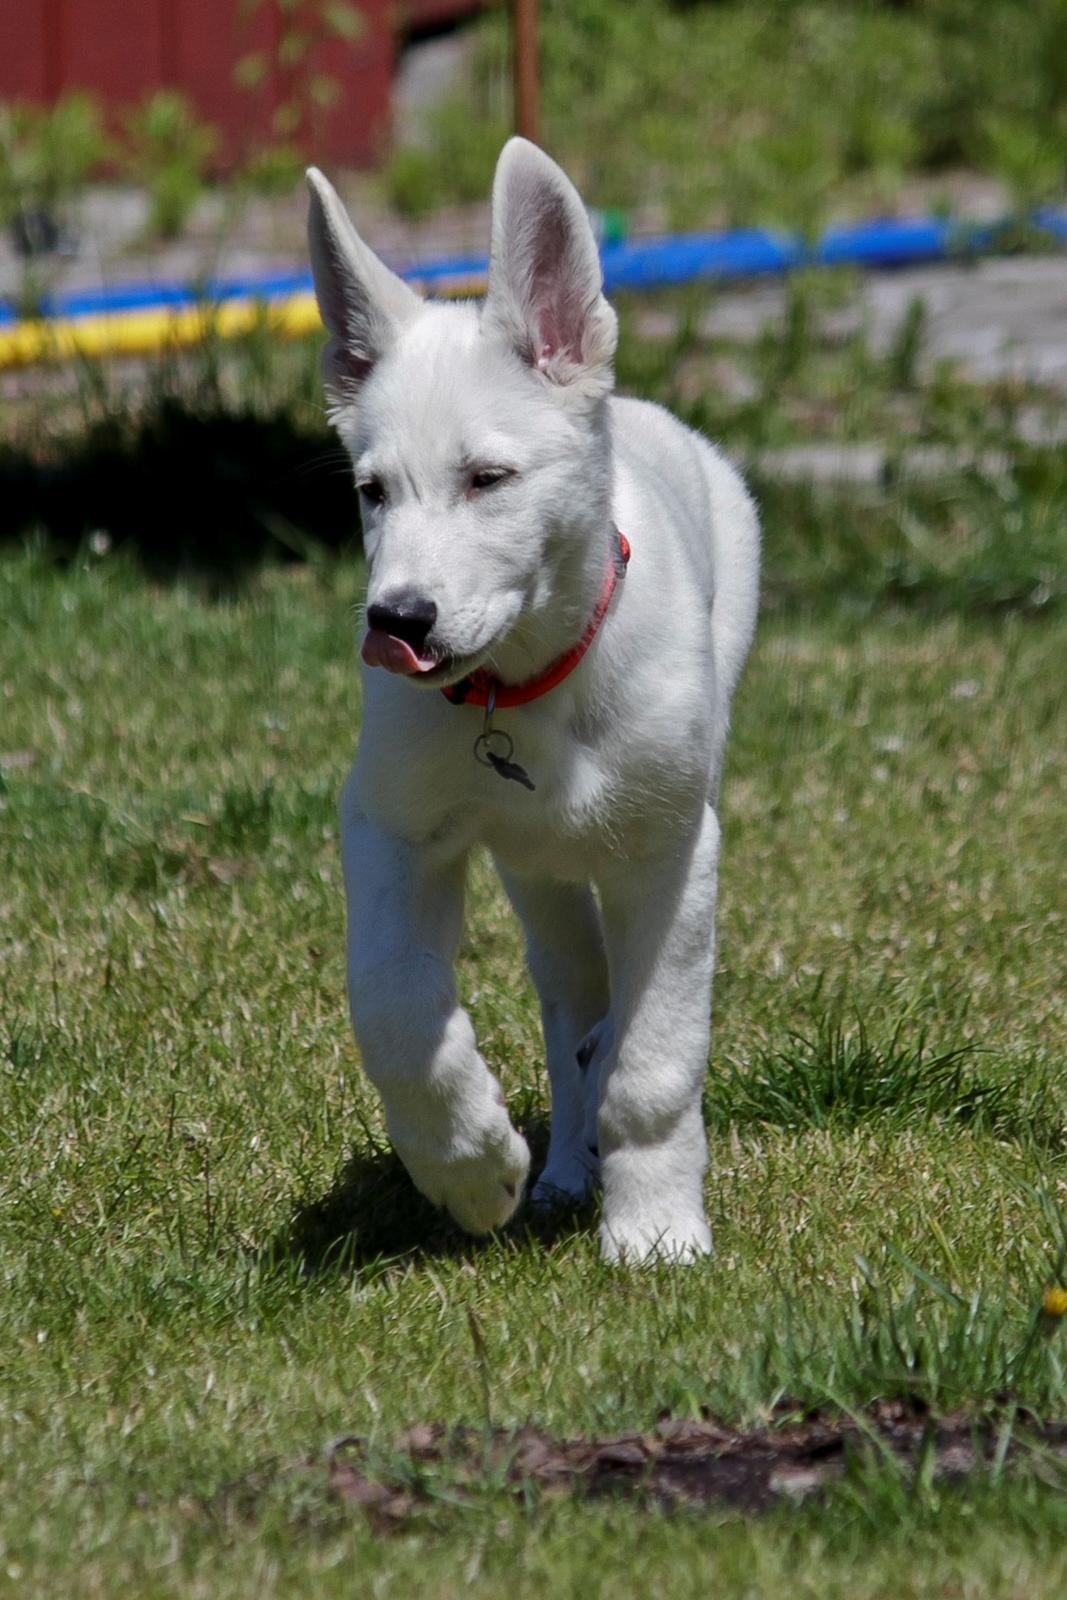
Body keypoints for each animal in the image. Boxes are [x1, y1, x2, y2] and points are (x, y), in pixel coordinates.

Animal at [303, 137, 764, 1260]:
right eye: (371, 492)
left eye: (487, 478)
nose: (396, 620)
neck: (524, 691)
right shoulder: (389, 827)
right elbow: (393, 1008)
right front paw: (470, 1168)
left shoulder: (672, 852)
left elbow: (653, 1061)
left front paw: (656, 1228)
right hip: (537, 875)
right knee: (570, 1005)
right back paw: (557, 1170)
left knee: (605, 1029)